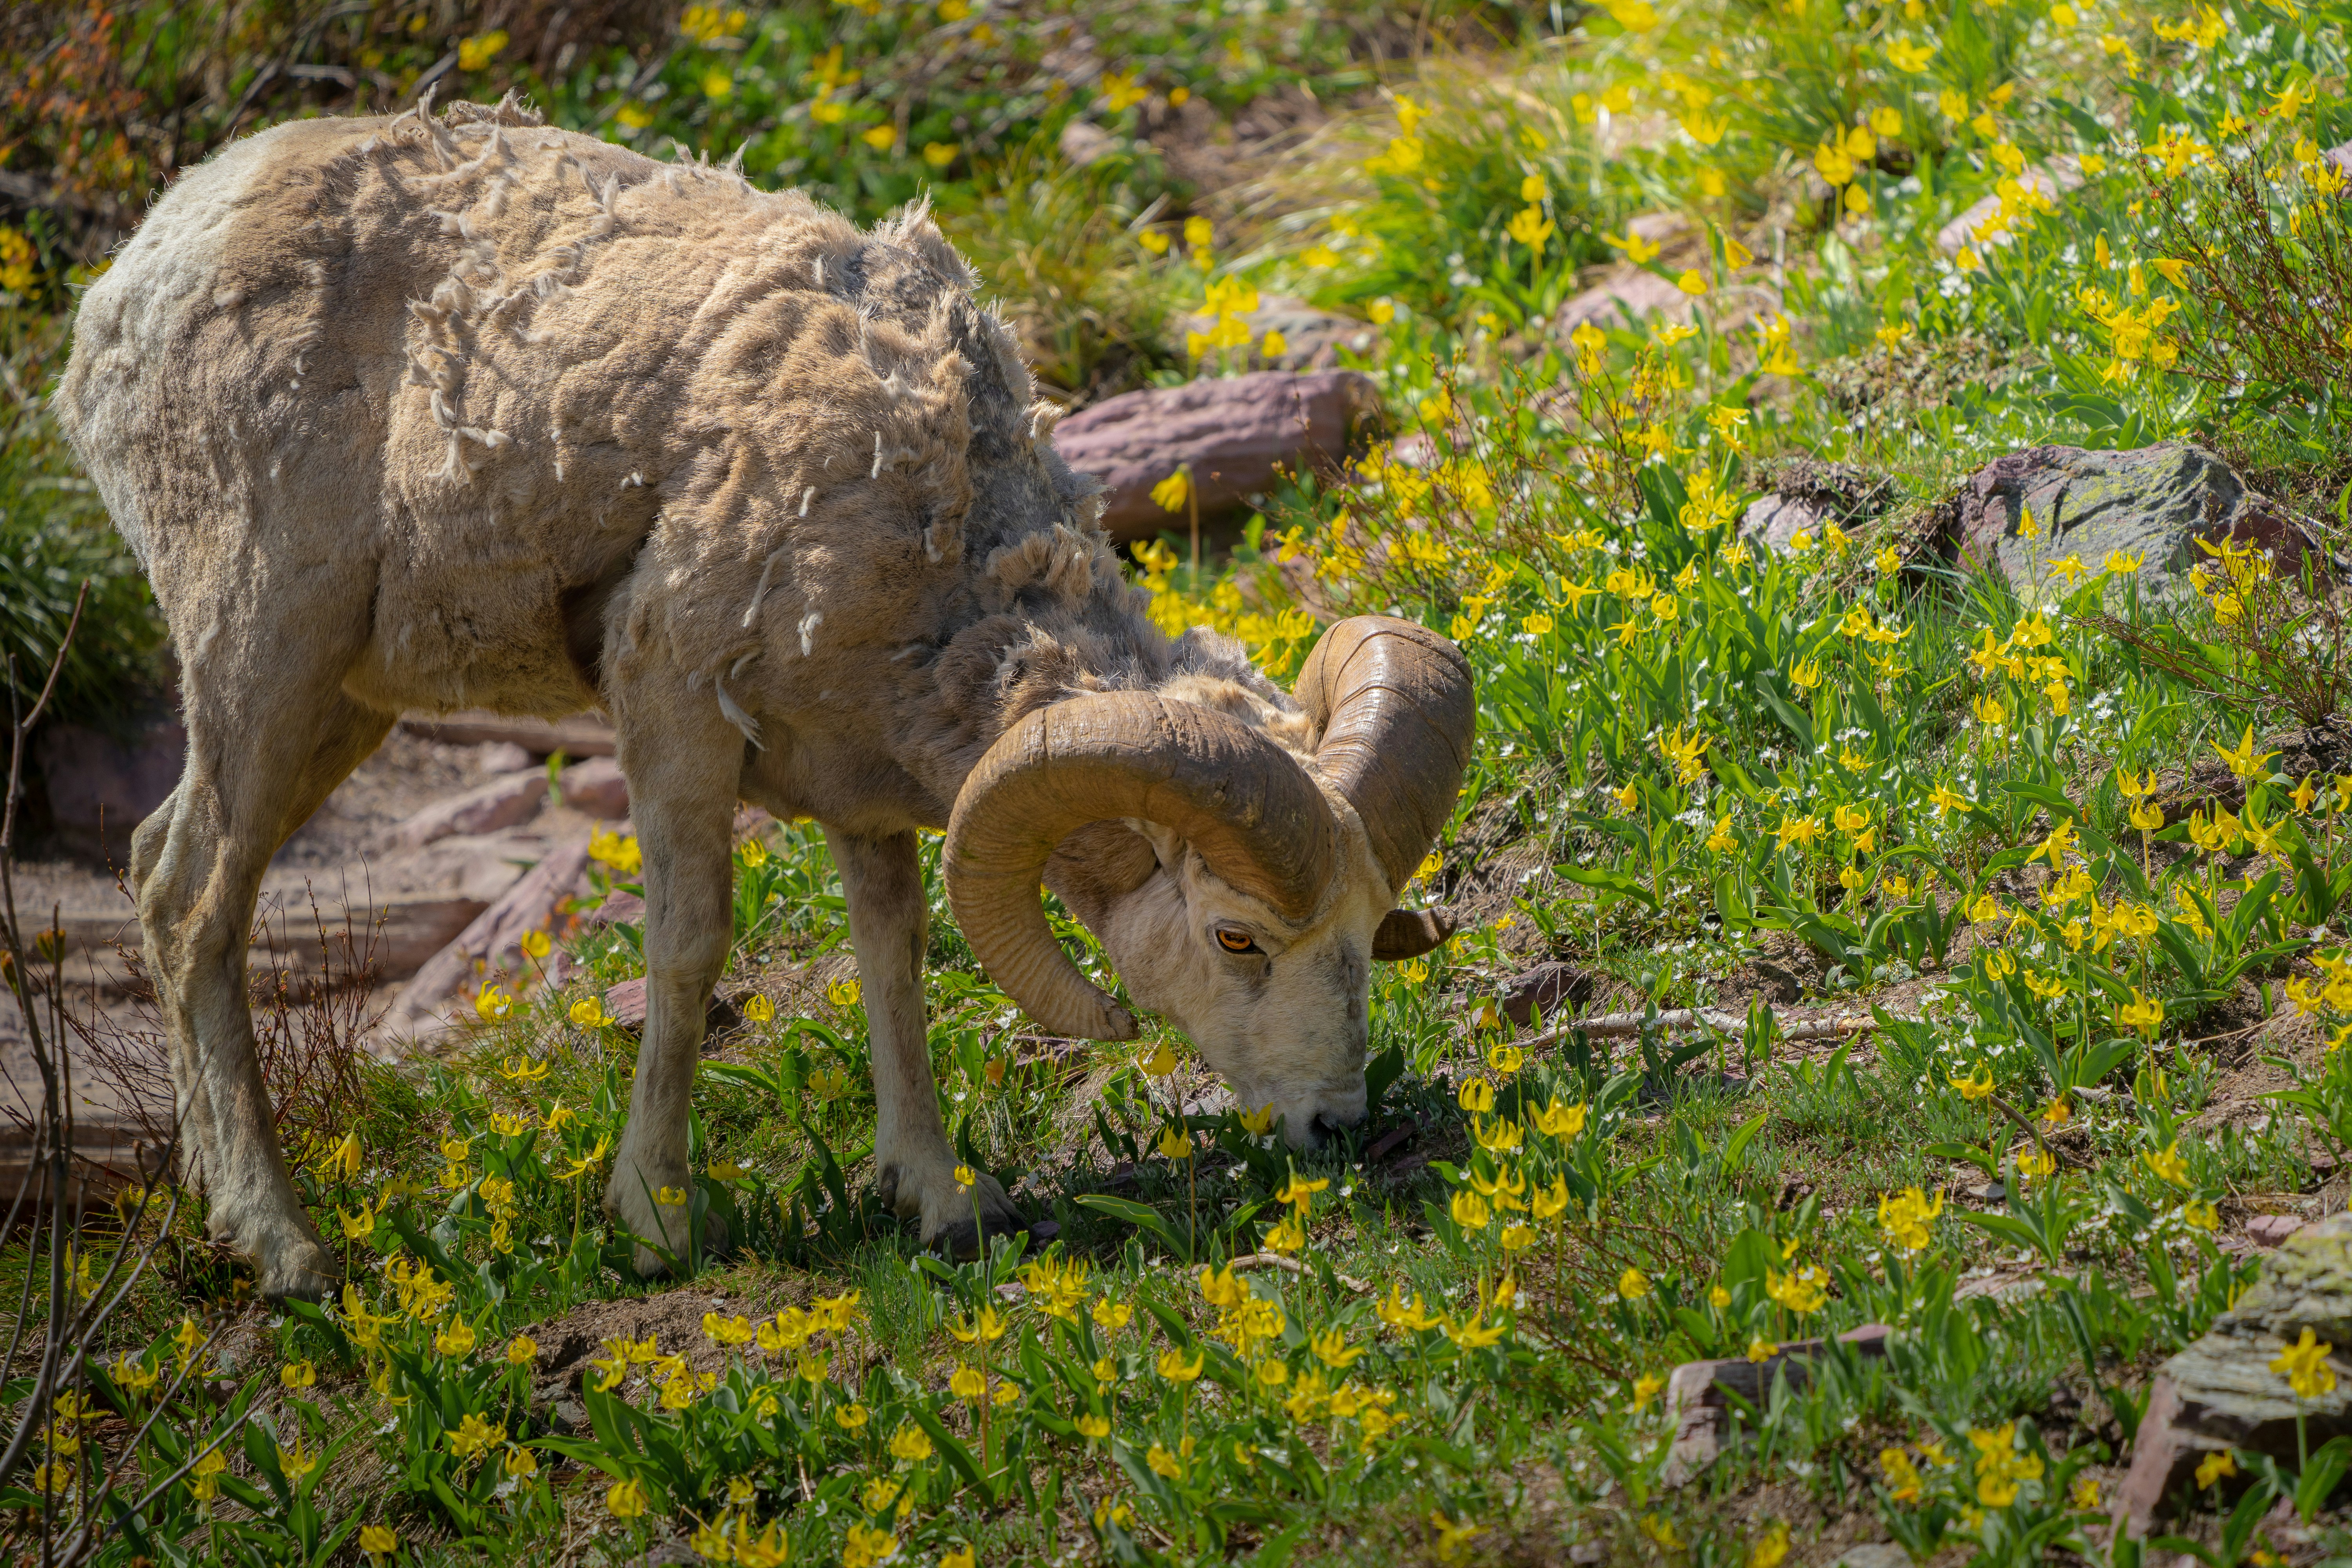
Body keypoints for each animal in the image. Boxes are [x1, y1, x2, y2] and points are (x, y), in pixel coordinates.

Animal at [55, 96, 1474, 1300]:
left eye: (1367, 929)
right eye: (1238, 938)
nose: (1337, 1126)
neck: (929, 507)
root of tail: (136, 276)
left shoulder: (866, 790)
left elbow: (895, 959)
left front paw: (941, 1201)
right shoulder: (673, 704)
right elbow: (689, 952)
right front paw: (656, 1224)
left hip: (339, 700)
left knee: (156, 875)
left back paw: (217, 1210)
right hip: (259, 652)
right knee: (194, 905)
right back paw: (283, 1250)